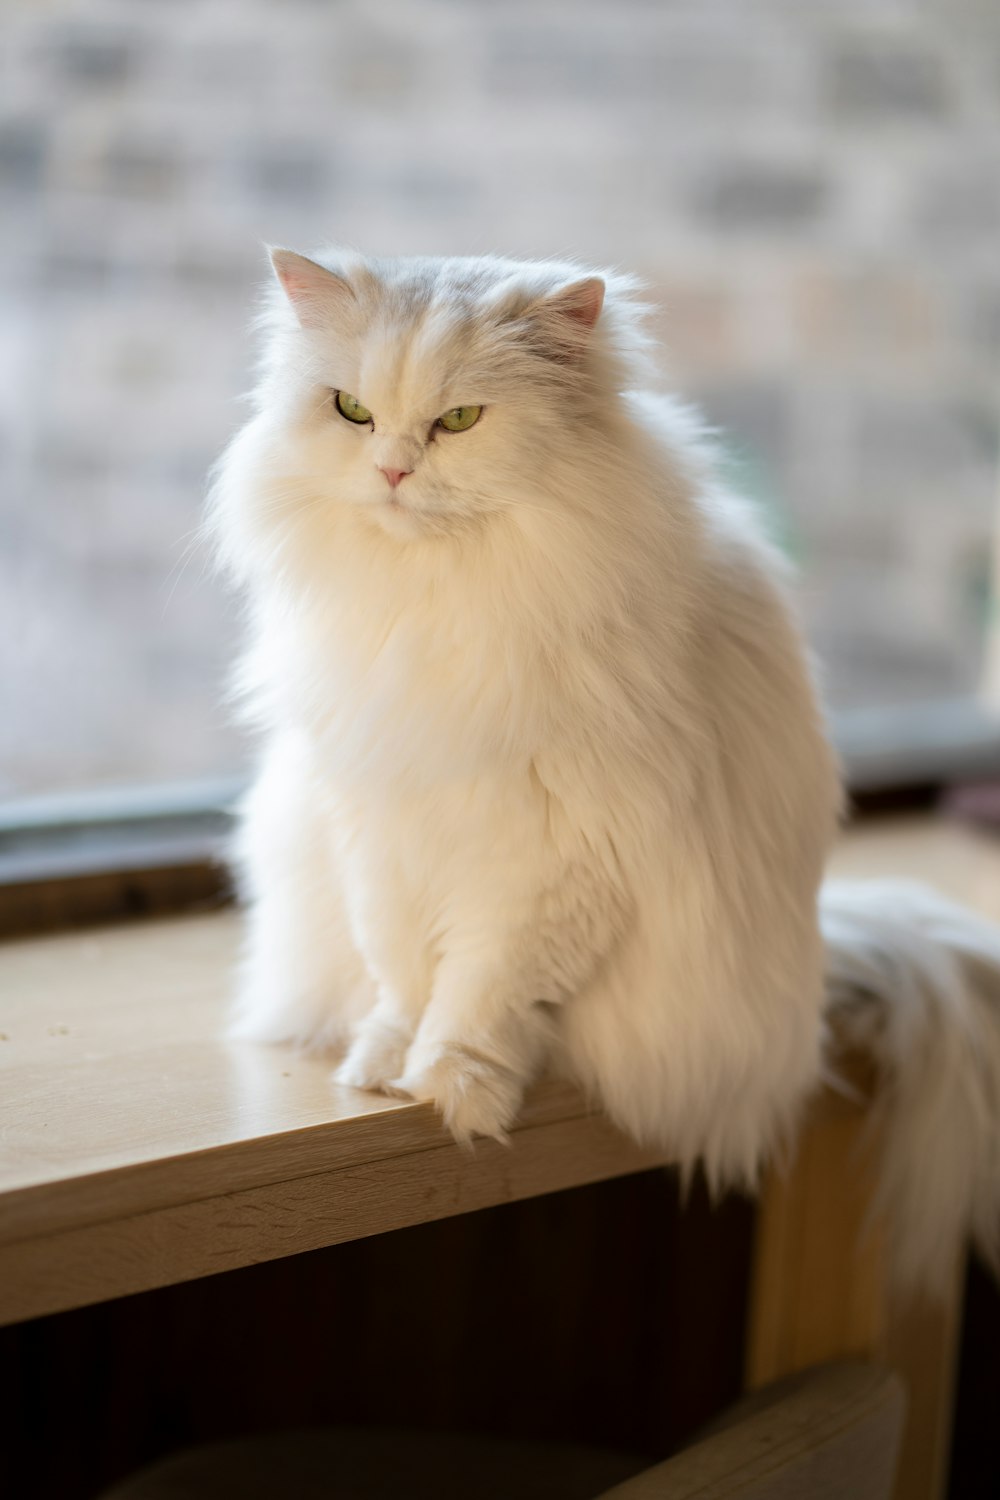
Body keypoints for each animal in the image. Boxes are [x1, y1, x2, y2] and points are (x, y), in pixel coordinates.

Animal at [211, 246, 1000, 1290]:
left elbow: (480, 991)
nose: (391, 469)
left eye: (459, 421)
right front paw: (379, 1067)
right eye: (350, 410)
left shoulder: (552, 853)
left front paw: (452, 1091)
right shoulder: (380, 823)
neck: (444, 601)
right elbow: (402, 971)